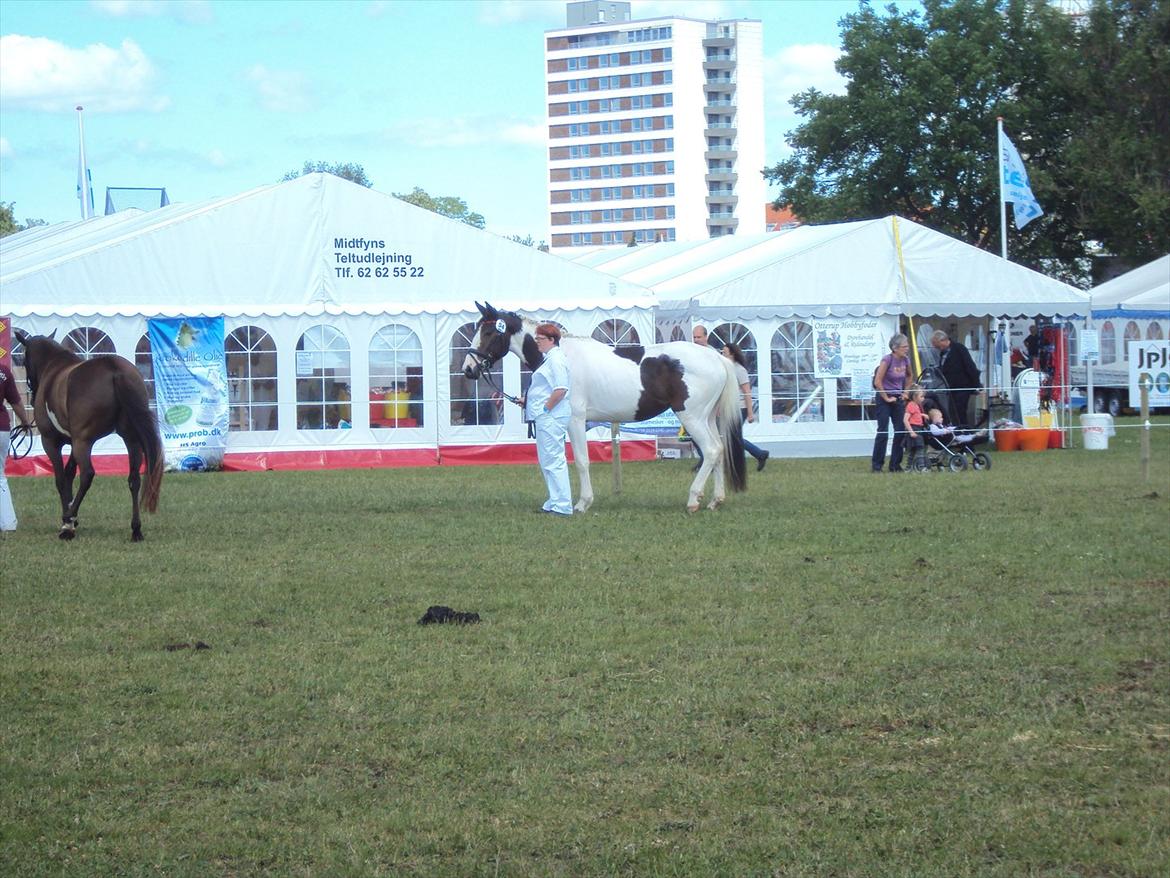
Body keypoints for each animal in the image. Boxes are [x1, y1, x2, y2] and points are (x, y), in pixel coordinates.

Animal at [14, 330, 162, 540]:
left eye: (24, 359)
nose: (33, 393)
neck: (54, 369)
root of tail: (114, 368)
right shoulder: (73, 441)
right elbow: (68, 474)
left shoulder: (52, 442)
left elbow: (61, 478)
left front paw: (69, 520)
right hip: (130, 439)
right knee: (134, 479)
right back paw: (135, 529)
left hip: (83, 441)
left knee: (87, 475)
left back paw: (68, 523)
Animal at [460, 302, 744, 512]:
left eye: (488, 333)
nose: (468, 369)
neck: (562, 356)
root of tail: (716, 358)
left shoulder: (575, 420)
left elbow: (581, 461)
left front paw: (582, 504)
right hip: (708, 418)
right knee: (719, 450)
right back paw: (715, 500)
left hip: (691, 416)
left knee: (710, 450)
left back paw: (693, 499)